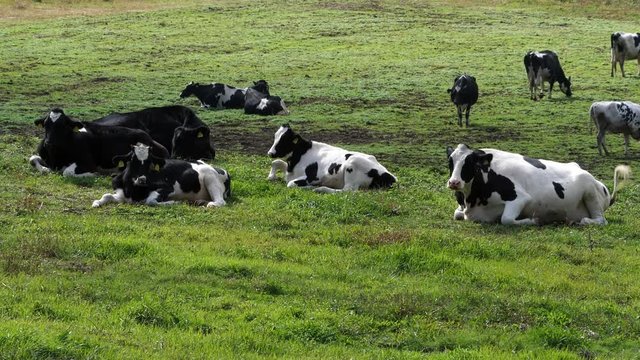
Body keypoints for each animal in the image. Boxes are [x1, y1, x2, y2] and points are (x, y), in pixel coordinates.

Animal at [29, 109, 170, 177]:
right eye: (46, 125)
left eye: (63, 126)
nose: (49, 143)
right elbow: (32, 159)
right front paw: (44, 169)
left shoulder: (88, 163)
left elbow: (67, 172)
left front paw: (94, 174)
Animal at [90, 142, 230, 207]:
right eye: (132, 160)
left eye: (150, 162)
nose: (142, 179)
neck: (134, 192)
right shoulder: (121, 193)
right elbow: (106, 195)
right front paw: (96, 203)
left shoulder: (167, 188)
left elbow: (151, 201)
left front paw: (173, 202)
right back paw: (200, 201)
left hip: (211, 178)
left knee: (220, 201)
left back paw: (210, 204)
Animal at [448, 143, 628, 225]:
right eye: (450, 162)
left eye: (470, 163)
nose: (454, 182)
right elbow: (457, 214)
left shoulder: (520, 198)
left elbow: (506, 219)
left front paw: (532, 220)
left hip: (589, 190)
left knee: (599, 220)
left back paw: (581, 221)